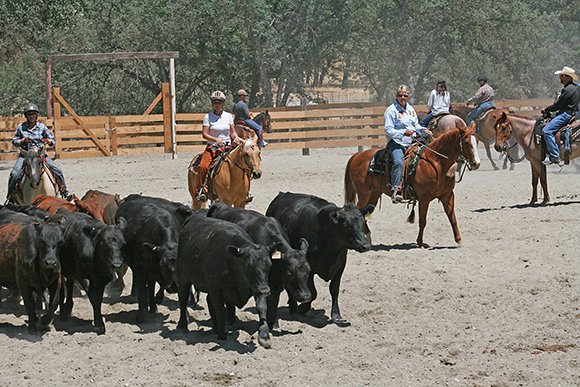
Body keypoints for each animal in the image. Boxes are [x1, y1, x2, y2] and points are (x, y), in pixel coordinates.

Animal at [176, 218, 276, 348]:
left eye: (270, 265)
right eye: (248, 266)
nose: (265, 291)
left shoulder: (257, 286)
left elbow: (262, 308)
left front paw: (264, 336)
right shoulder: (215, 289)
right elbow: (221, 311)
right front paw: (222, 335)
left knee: (208, 301)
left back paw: (215, 328)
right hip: (183, 279)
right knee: (183, 300)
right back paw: (182, 325)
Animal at [266, 192, 374, 322]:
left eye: (362, 222)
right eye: (345, 224)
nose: (366, 245)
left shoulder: (340, 266)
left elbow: (334, 289)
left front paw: (336, 313)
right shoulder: (308, 269)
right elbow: (313, 293)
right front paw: (303, 308)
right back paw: (293, 307)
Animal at [344, 123, 480, 247]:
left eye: (477, 141)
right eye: (466, 142)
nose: (476, 164)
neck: (436, 163)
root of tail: (357, 155)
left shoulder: (447, 195)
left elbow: (453, 218)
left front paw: (459, 241)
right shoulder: (424, 198)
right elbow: (422, 220)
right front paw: (420, 243)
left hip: (374, 193)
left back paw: (367, 237)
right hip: (364, 193)